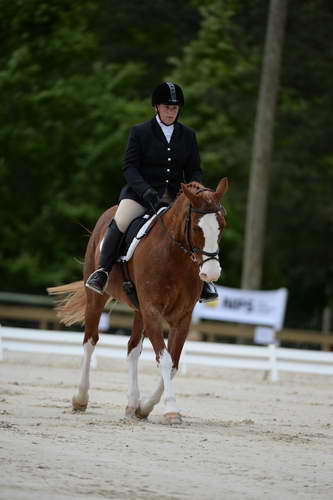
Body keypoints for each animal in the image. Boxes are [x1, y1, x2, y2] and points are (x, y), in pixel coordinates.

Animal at [47, 178, 228, 424]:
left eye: (222, 225)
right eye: (195, 228)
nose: (211, 273)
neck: (175, 258)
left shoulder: (182, 317)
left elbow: (173, 363)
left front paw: (145, 407)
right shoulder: (152, 311)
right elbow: (164, 359)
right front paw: (171, 409)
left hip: (139, 310)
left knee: (132, 349)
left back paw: (132, 404)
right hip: (97, 298)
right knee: (90, 341)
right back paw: (80, 399)